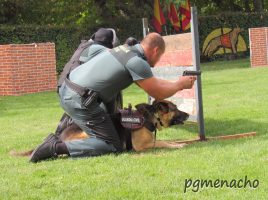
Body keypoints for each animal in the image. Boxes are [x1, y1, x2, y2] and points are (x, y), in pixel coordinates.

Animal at [10, 100, 189, 156]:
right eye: (176, 109)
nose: (188, 114)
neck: (150, 117)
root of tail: (60, 135)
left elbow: (167, 141)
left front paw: (179, 143)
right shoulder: (142, 145)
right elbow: (163, 143)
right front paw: (177, 145)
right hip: (89, 136)